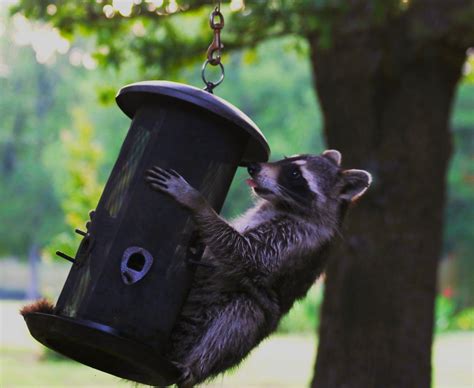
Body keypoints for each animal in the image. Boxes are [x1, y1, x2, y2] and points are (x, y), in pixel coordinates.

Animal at [144, 150, 370, 386]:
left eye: (295, 173)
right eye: (287, 159)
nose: (253, 167)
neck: (281, 205)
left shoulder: (294, 239)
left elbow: (243, 254)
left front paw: (198, 203)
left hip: (242, 337)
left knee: (244, 314)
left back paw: (193, 366)